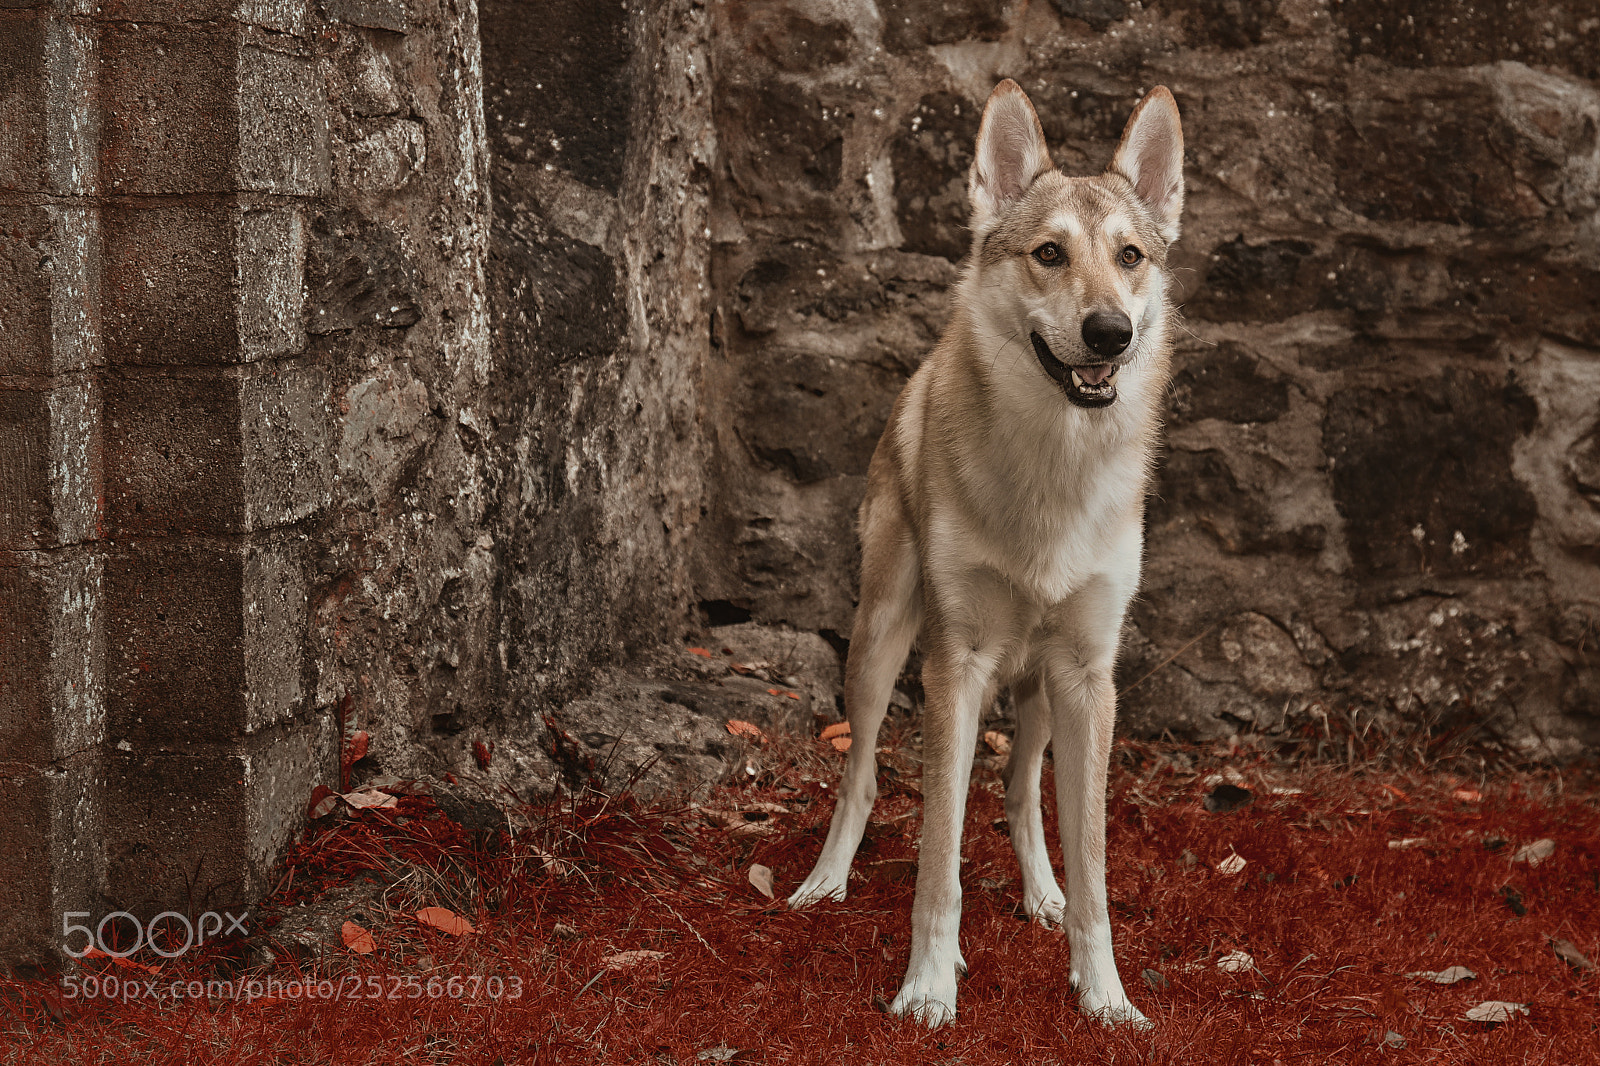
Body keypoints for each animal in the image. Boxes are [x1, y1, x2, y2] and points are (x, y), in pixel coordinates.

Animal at [787, 78, 1185, 1029]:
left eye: (1130, 257)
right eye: (1048, 254)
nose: (1109, 332)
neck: (1054, 470)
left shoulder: (1089, 677)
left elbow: (1093, 868)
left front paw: (1104, 996)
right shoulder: (955, 667)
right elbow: (939, 857)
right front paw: (929, 986)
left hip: (1041, 692)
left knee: (1018, 790)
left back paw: (1040, 894)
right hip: (880, 647)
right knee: (862, 775)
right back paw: (825, 882)